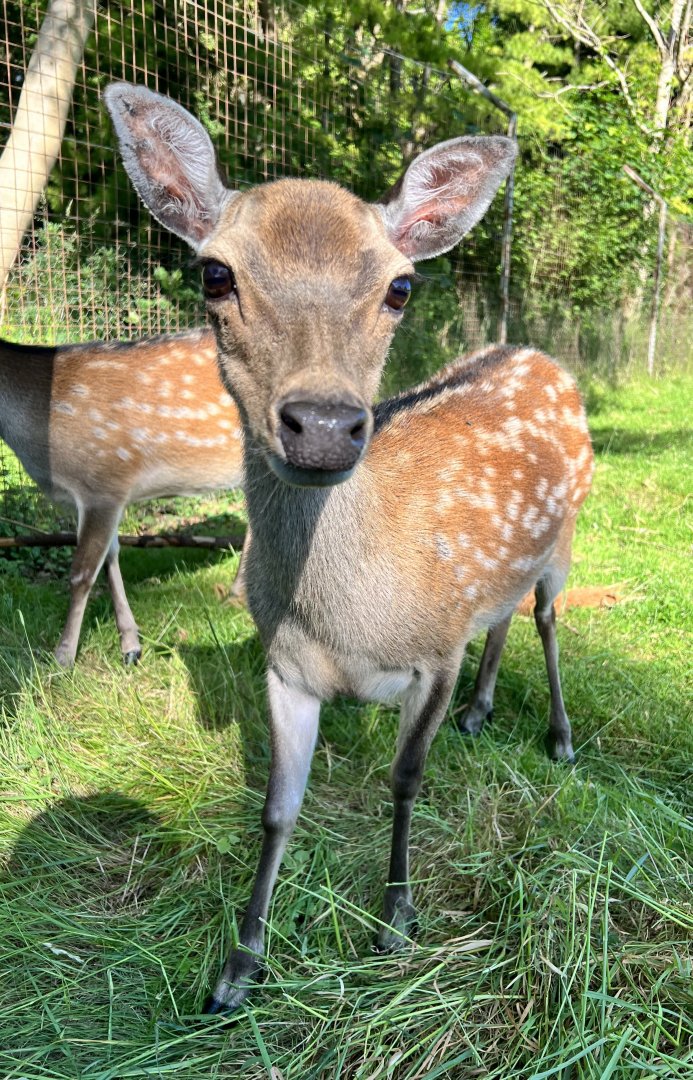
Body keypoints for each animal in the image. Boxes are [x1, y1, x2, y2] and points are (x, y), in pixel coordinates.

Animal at [0, 329, 247, 666]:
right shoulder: (100, 498)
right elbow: (110, 558)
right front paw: (131, 646)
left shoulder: (103, 483)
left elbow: (82, 573)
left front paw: (62, 657)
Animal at [106, 82, 594, 1014]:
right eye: (214, 272)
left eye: (401, 285)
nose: (325, 425)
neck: (345, 618)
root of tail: (537, 353)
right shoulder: (285, 667)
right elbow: (276, 807)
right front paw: (239, 965)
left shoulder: (433, 651)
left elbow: (403, 778)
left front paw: (395, 920)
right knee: (503, 613)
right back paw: (482, 711)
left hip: (567, 537)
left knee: (548, 619)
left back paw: (556, 737)